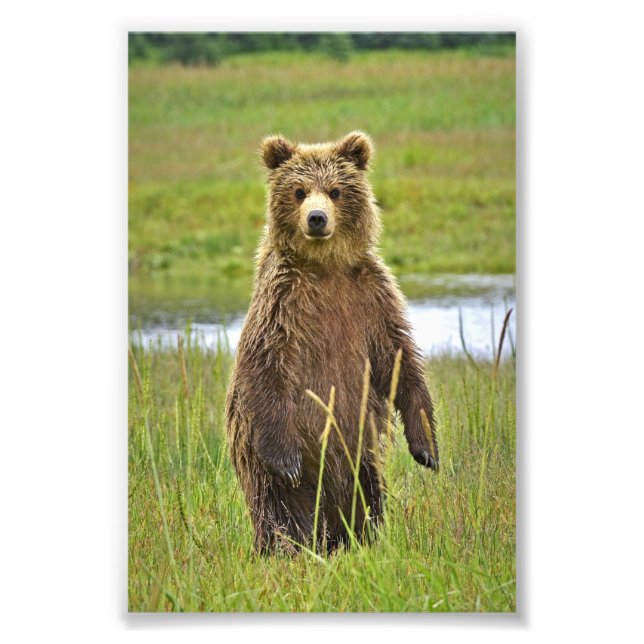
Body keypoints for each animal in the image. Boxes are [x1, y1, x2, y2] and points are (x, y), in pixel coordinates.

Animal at [225, 131, 438, 554]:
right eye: (299, 191)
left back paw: (360, 539)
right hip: (266, 472)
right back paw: (286, 547)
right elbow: (263, 362)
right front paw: (286, 460)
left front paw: (426, 448)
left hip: (359, 453)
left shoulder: (370, 296)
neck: (325, 267)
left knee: (367, 495)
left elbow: (399, 358)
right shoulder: (282, 301)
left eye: (336, 190)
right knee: (279, 511)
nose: (317, 218)